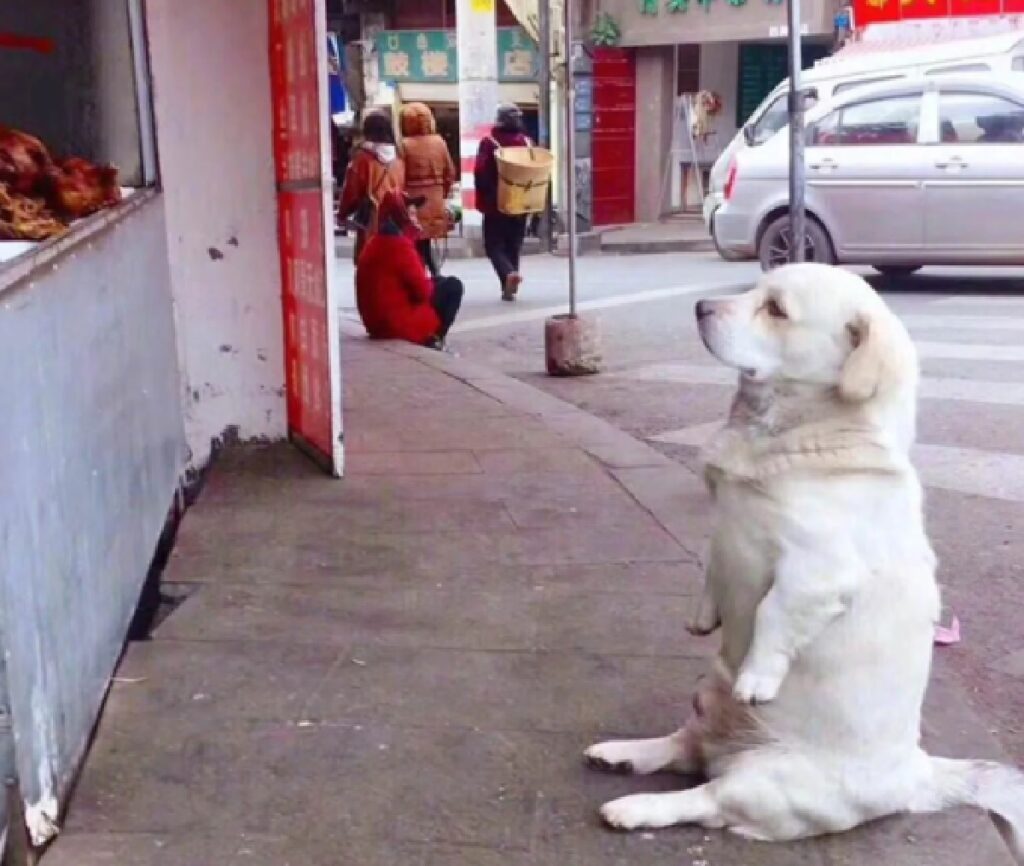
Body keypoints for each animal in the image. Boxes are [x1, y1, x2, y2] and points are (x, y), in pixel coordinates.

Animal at [585, 262, 1024, 847]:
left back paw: (633, 807)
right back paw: (620, 755)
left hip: (764, 781)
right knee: (683, 748)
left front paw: (757, 677)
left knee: (703, 796)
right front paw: (702, 616)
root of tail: (917, 774)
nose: (700, 306)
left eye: (775, 309)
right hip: (706, 697)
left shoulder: (817, 570)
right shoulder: (722, 528)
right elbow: (710, 565)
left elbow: (774, 615)